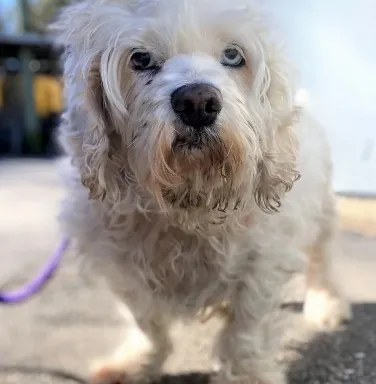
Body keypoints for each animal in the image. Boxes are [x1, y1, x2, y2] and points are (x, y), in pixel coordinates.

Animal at [53, 0, 352, 384]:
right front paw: (136, 362)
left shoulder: (262, 262)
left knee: (321, 260)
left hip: (324, 214)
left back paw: (326, 303)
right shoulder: (122, 267)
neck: (190, 200)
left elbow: (246, 331)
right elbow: (147, 323)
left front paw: (247, 375)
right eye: (140, 59)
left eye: (233, 55)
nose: (197, 102)